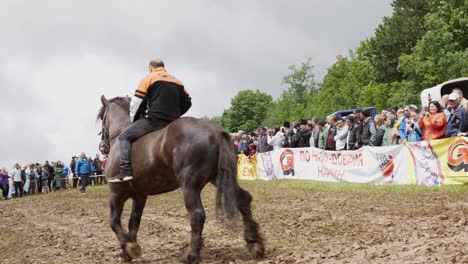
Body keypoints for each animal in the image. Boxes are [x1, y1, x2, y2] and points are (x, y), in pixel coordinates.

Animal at [97, 96, 266, 262]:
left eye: (101, 117)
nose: (102, 147)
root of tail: (215, 131)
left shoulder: (115, 194)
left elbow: (114, 222)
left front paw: (129, 247)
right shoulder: (139, 196)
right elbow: (134, 222)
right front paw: (128, 251)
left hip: (189, 186)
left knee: (197, 215)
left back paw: (191, 255)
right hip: (220, 178)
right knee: (243, 199)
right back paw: (254, 243)